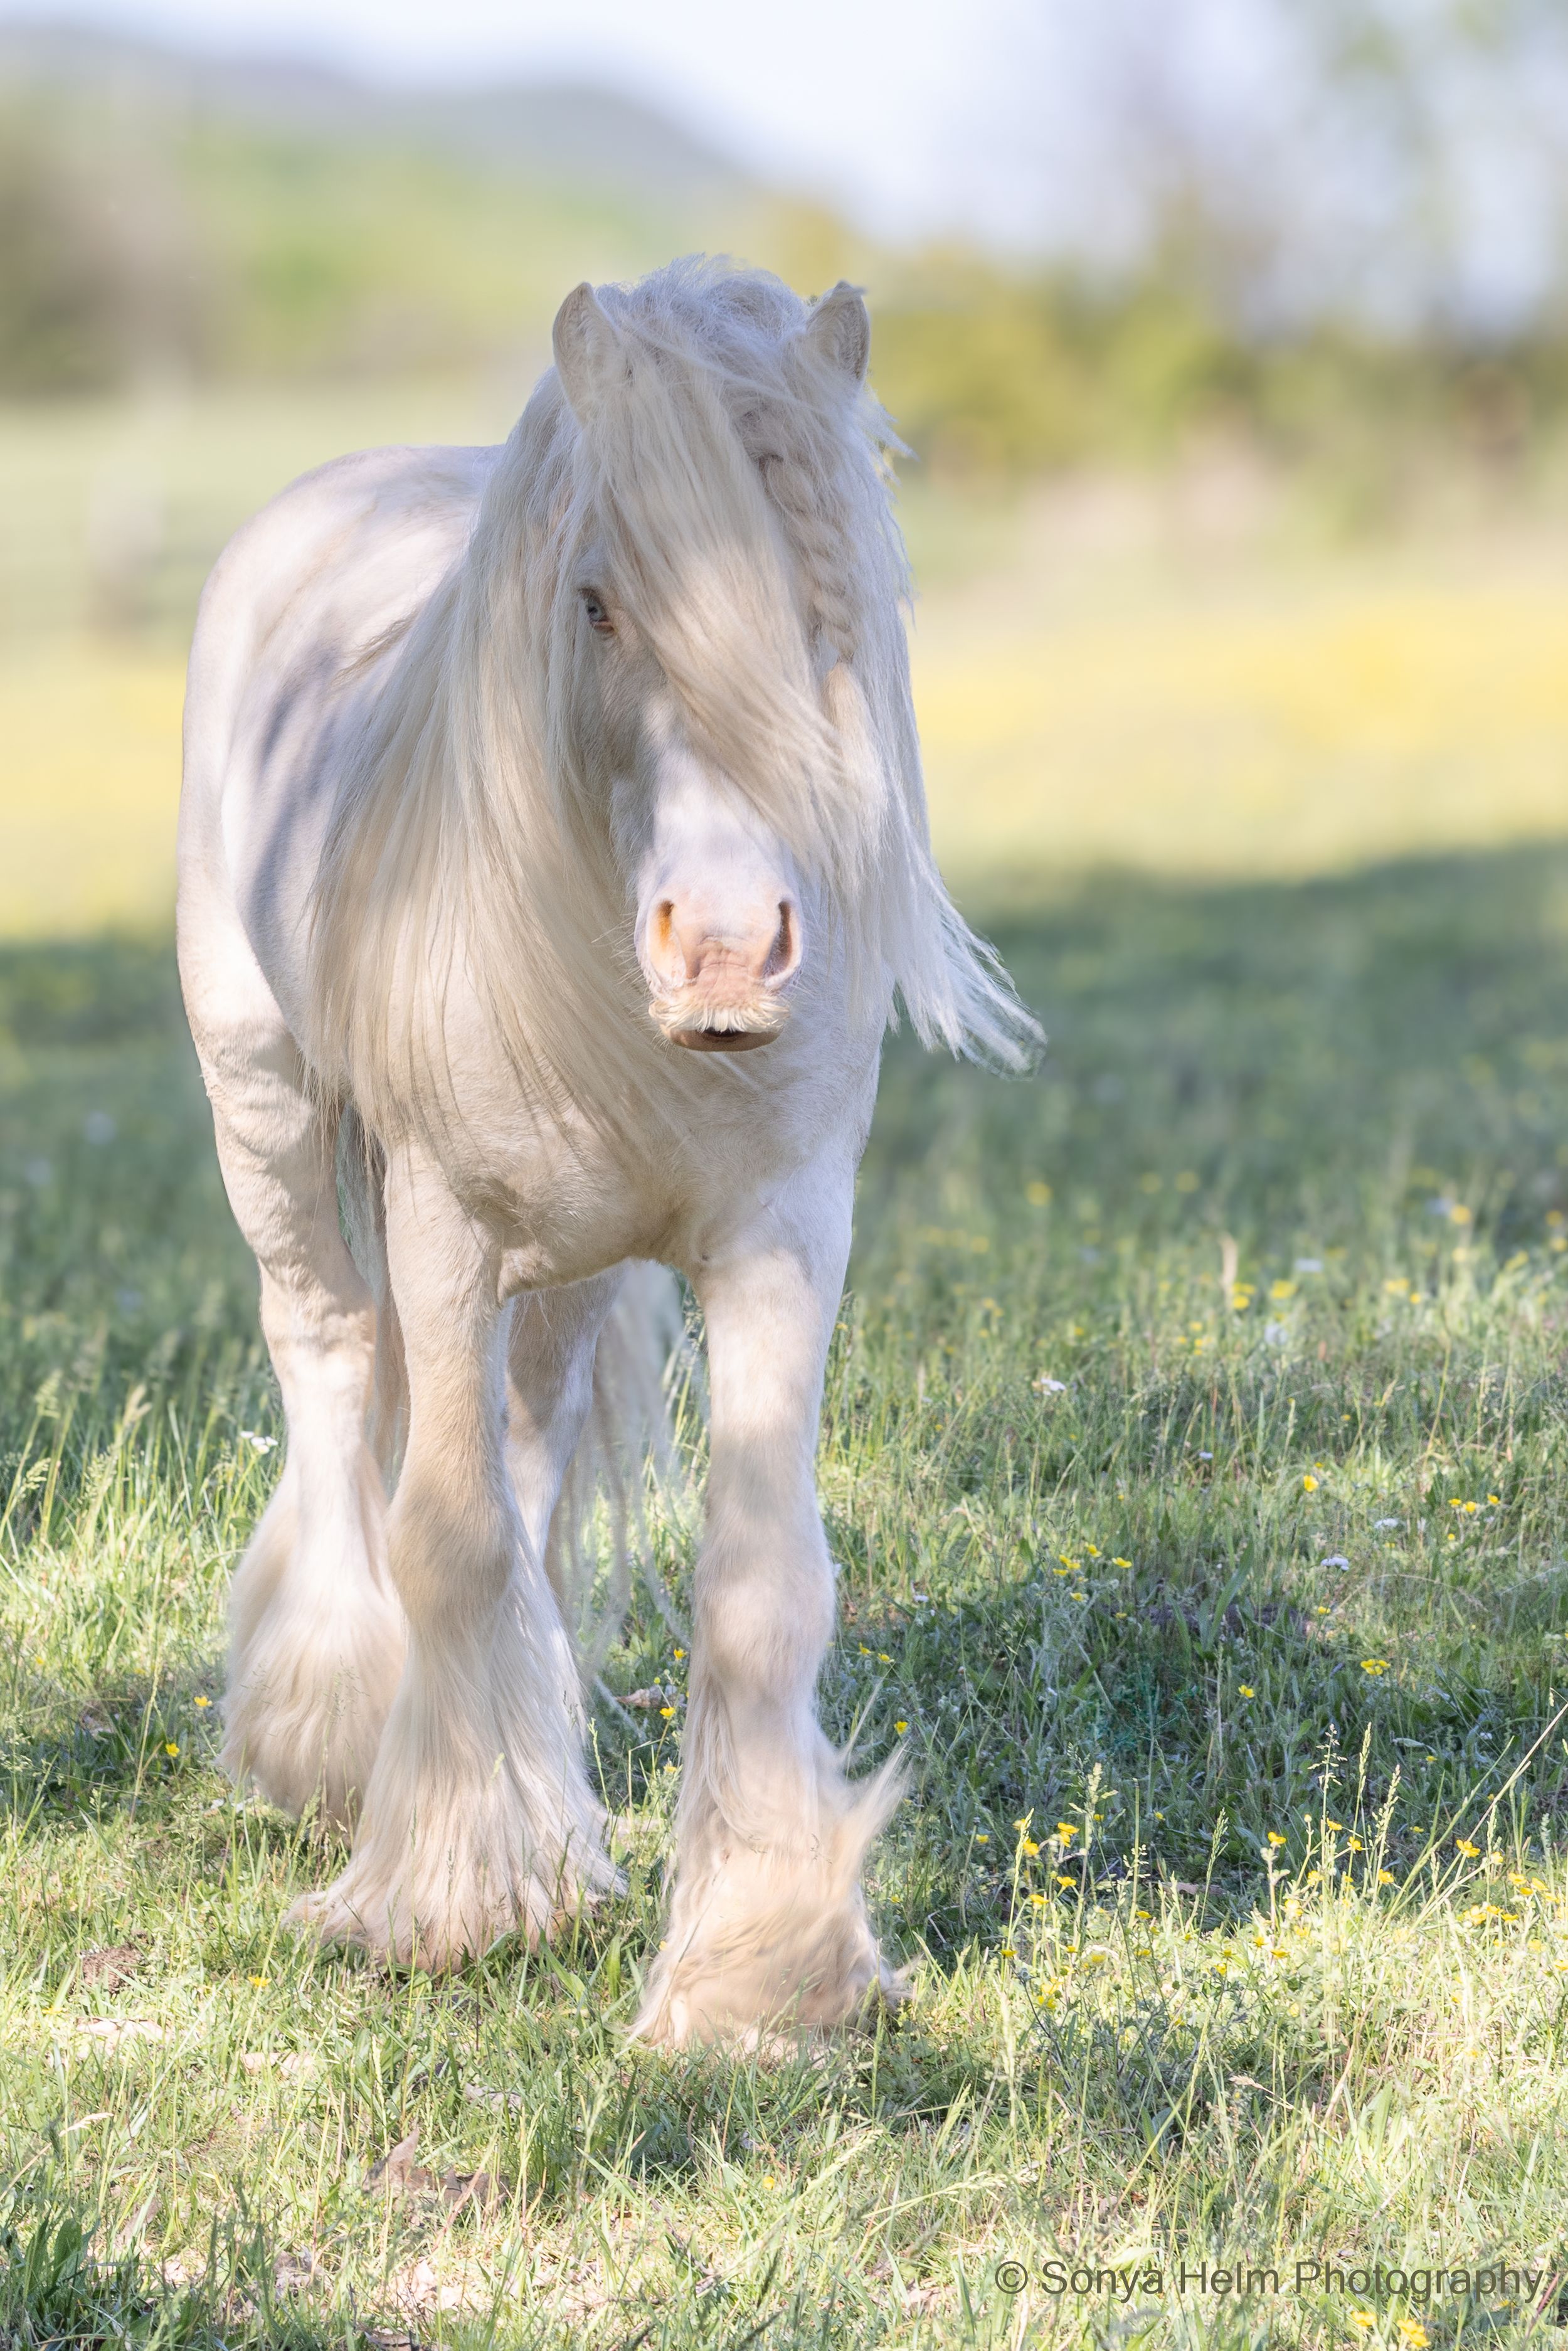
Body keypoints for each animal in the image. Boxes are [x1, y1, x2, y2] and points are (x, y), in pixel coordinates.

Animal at [176, 256, 1038, 2045]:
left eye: (822, 590)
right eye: (594, 603)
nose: (723, 948)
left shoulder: (781, 1235)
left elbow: (757, 1583)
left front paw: (760, 1973)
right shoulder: (441, 1227)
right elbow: (441, 1536)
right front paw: (441, 1902)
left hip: (563, 1278)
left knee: (519, 1459)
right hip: (268, 1111)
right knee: (331, 1362)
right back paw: (333, 1740)